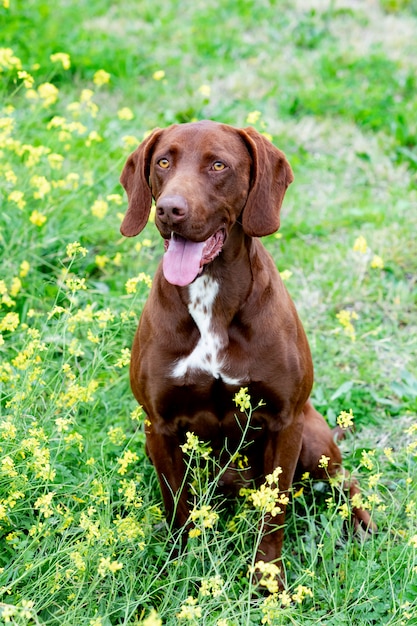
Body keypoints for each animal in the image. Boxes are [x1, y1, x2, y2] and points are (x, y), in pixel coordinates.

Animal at [118, 118, 374, 584]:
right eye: (163, 162)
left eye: (218, 165)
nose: (169, 209)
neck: (210, 294)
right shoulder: (158, 428)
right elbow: (175, 506)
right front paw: (177, 572)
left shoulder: (285, 423)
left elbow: (274, 514)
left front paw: (267, 583)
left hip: (314, 440)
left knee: (346, 481)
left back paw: (362, 522)